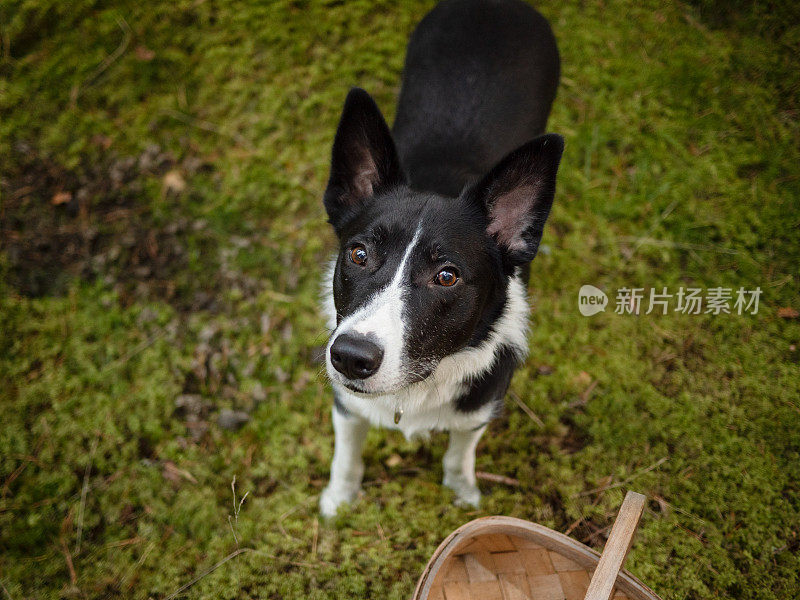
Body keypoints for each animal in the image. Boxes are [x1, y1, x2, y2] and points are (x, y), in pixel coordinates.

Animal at [318, 0, 564, 516]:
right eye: (359, 253)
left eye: (447, 276)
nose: (350, 358)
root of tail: (495, 5)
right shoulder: (347, 405)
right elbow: (347, 451)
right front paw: (339, 500)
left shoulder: (480, 406)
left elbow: (459, 451)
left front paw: (463, 493)